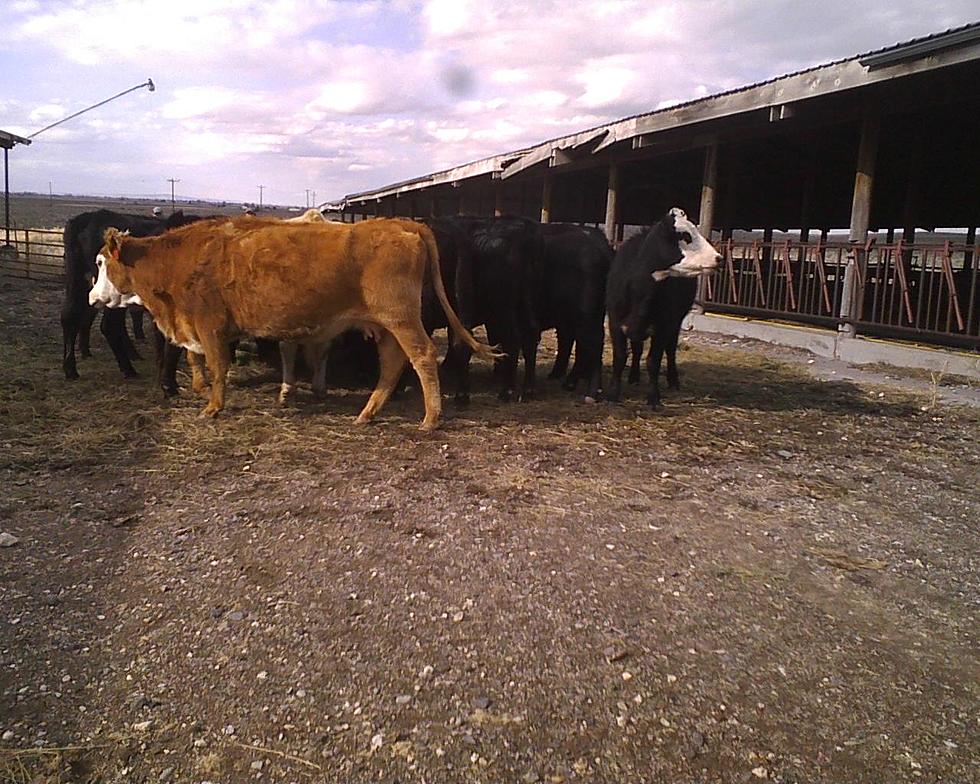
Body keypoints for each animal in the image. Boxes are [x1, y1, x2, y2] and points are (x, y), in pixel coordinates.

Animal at [90, 216, 498, 428]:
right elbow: (199, 361)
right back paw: (367, 413)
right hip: (384, 327)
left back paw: (431, 417)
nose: (92, 297)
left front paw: (212, 406)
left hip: (401, 319)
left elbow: (218, 367)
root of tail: (400, 223)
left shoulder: (210, 326)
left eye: (100, 262)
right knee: (393, 363)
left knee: (423, 357)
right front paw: (203, 392)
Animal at [604, 205, 720, 408]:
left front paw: (653, 397)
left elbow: (654, 361)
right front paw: (612, 394)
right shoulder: (615, 321)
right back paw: (633, 376)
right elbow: (620, 357)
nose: (718, 258)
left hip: (676, 321)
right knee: (637, 348)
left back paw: (673, 381)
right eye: (686, 236)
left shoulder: (663, 325)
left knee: (670, 350)